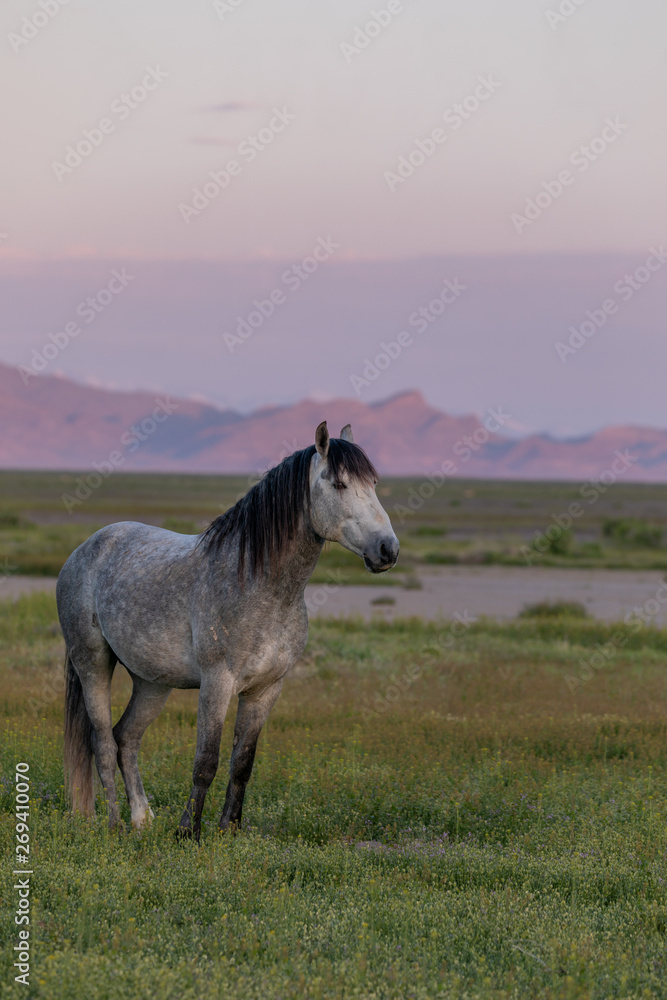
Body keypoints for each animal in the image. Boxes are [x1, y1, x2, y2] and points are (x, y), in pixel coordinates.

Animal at [57, 418, 400, 840]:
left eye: (374, 483)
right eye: (338, 484)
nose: (387, 549)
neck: (261, 587)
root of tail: (86, 548)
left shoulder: (265, 690)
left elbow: (242, 763)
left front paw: (229, 829)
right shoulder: (217, 684)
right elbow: (206, 761)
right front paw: (188, 832)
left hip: (151, 681)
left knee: (127, 739)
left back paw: (142, 819)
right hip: (93, 663)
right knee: (102, 742)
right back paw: (114, 824)